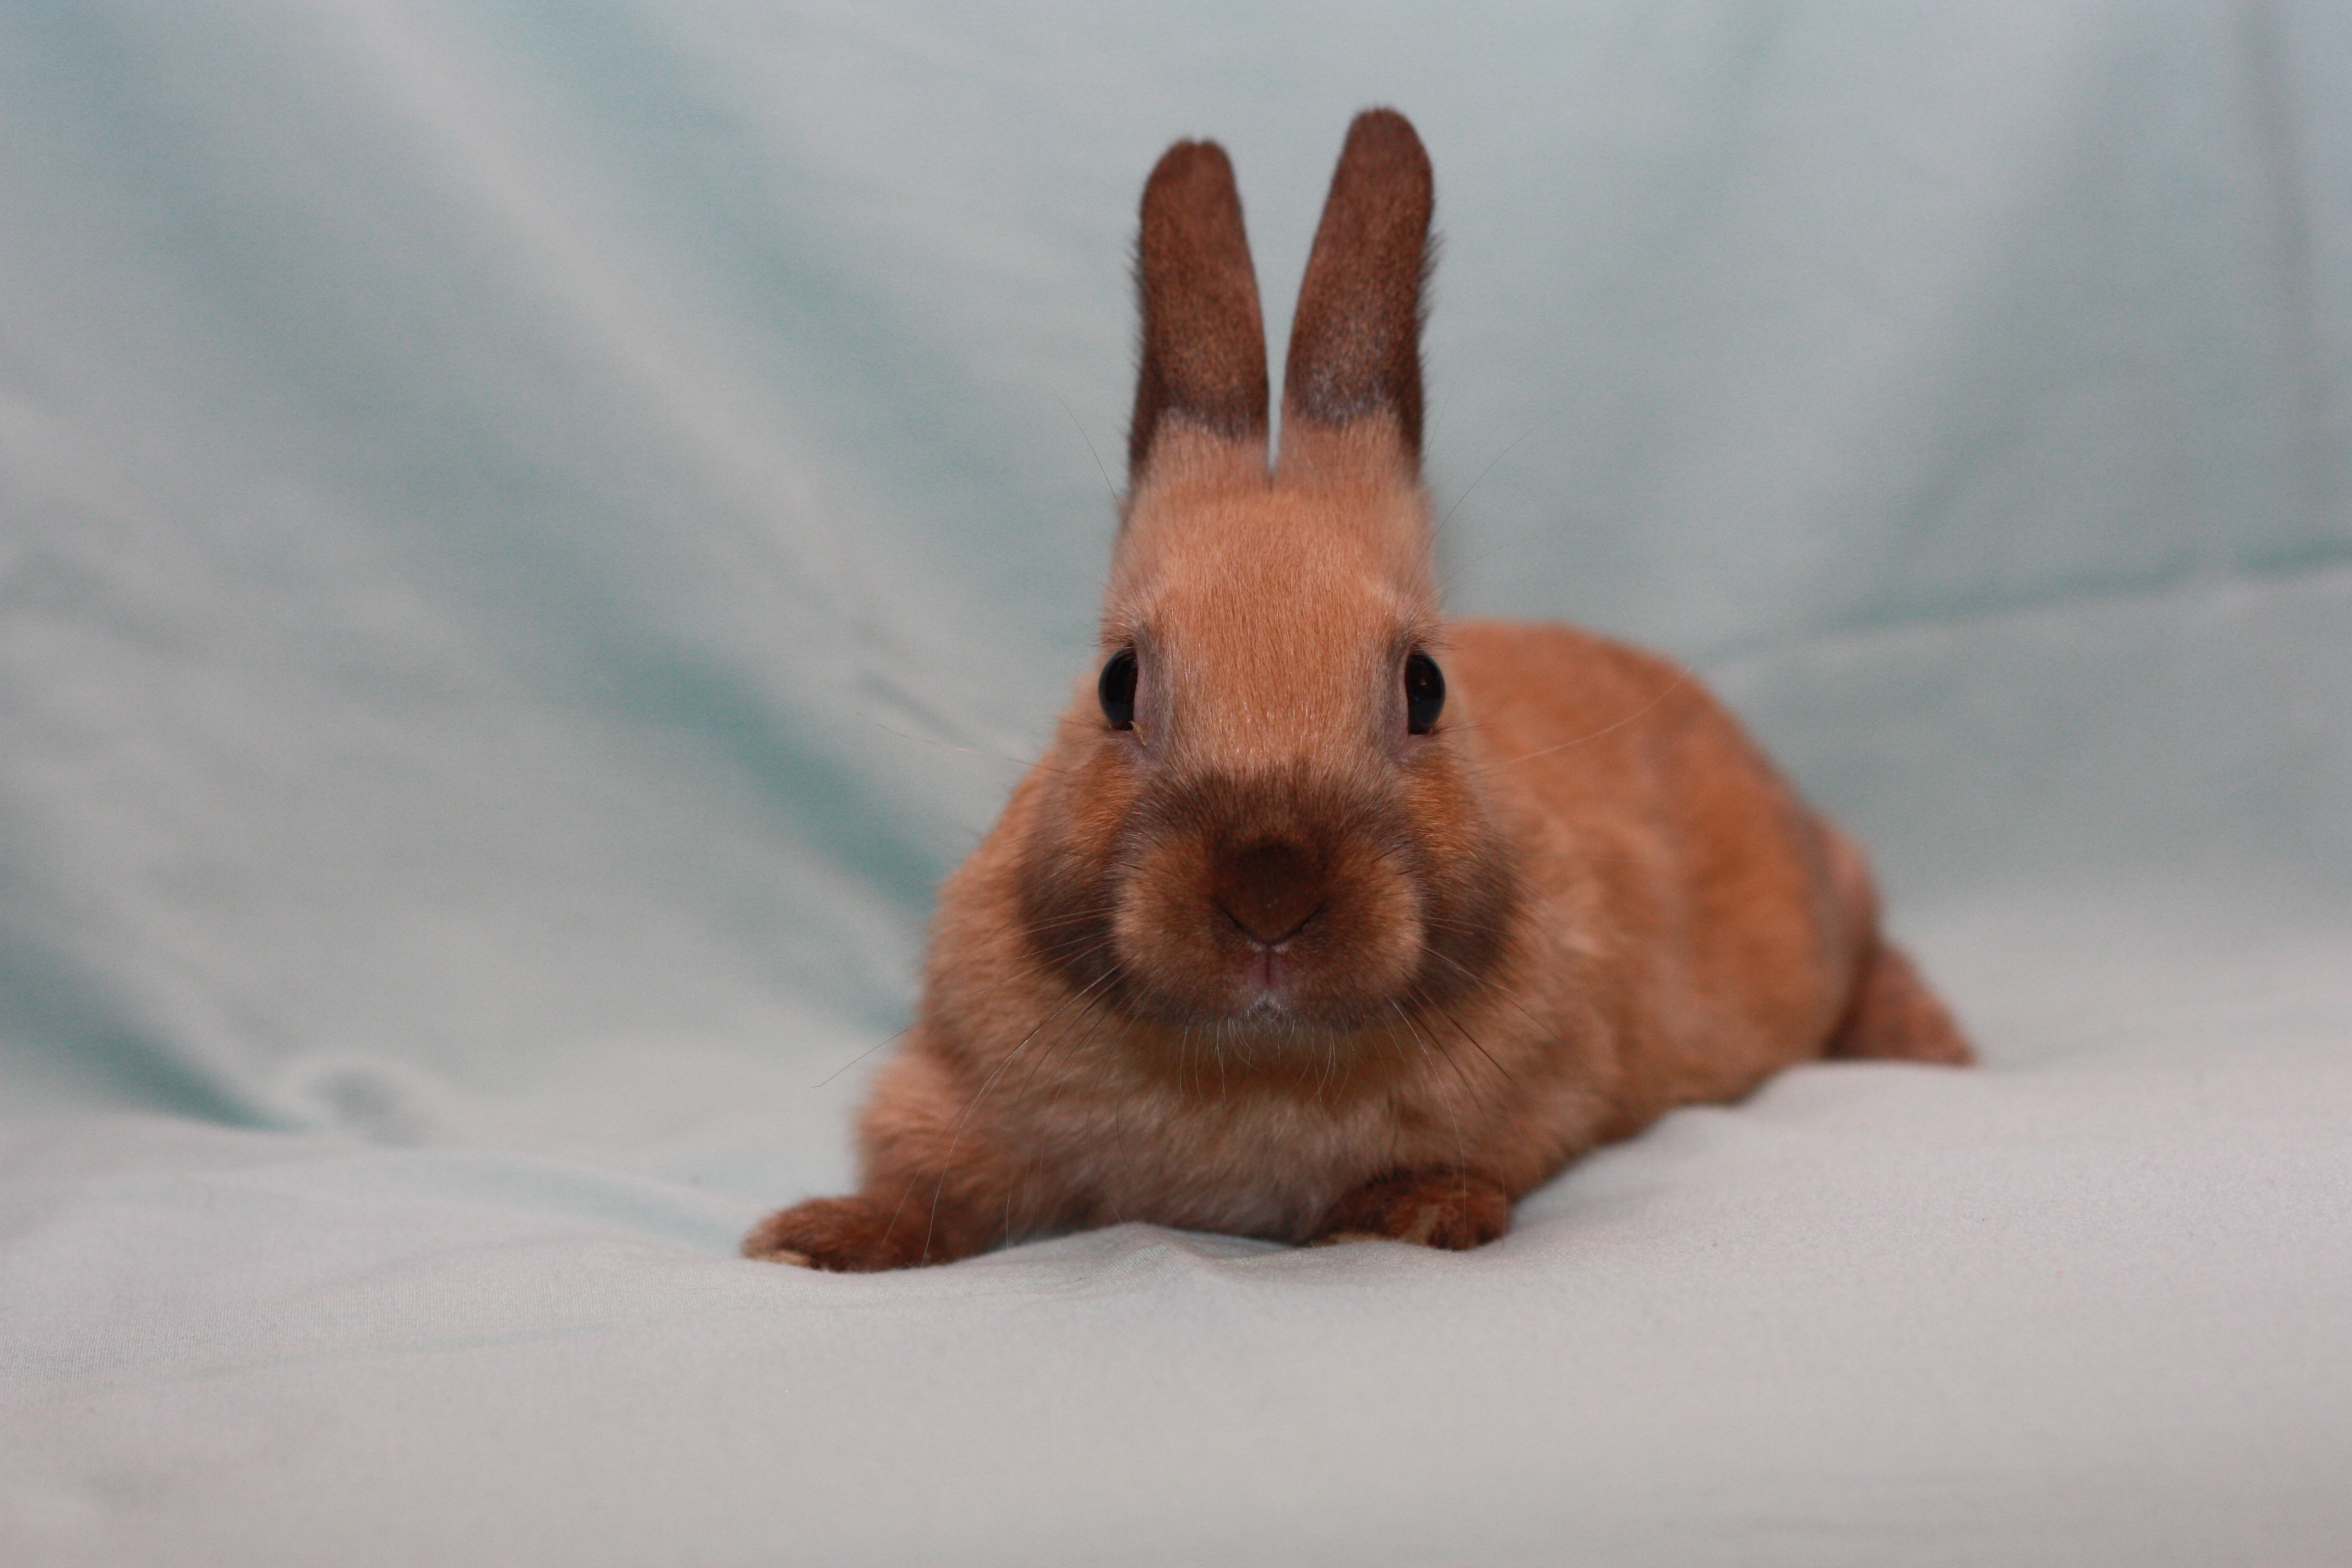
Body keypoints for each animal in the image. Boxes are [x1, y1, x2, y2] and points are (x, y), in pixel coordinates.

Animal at [744, 108, 1971, 1272]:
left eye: (1425, 686)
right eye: (1116, 682)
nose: (1269, 896)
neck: (1258, 1059)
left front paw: (1403, 1215)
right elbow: (928, 1186)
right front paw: (816, 1237)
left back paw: (1934, 1047)